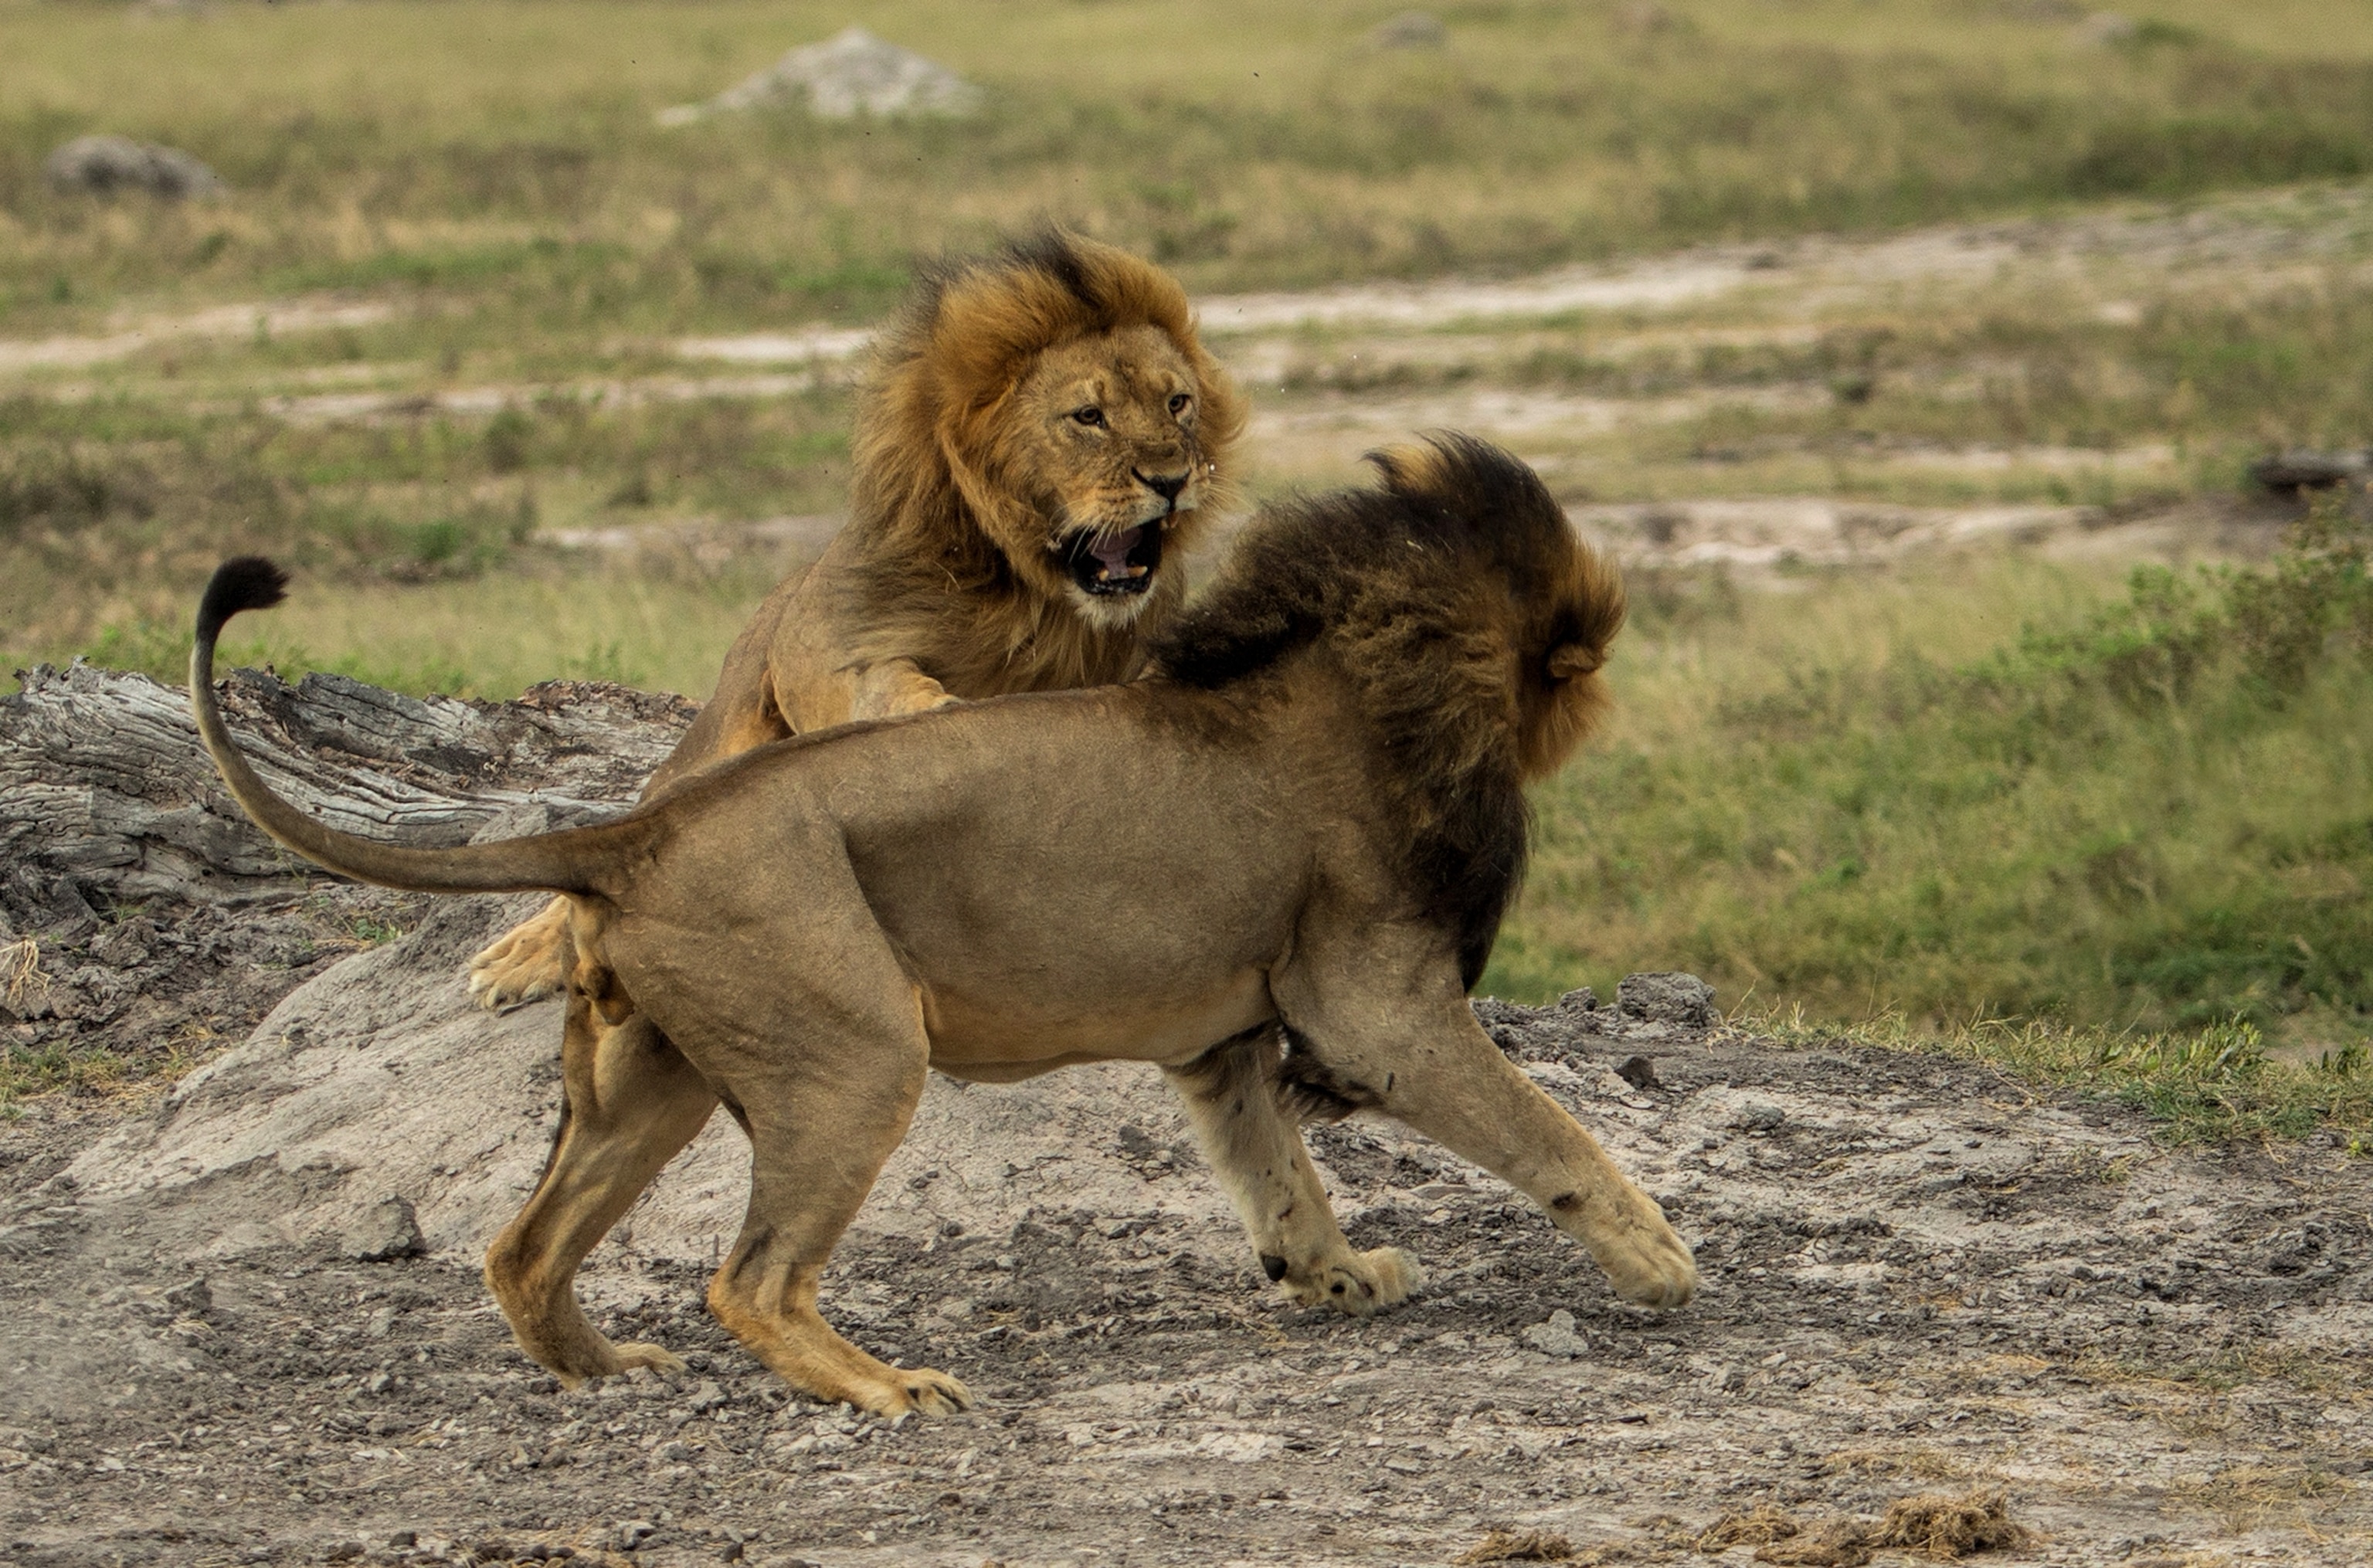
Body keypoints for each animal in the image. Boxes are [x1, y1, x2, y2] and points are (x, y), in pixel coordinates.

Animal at [187, 434, 1697, 1419]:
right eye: (1573, 672)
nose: (1596, 703)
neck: (1373, 677)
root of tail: (636, 831)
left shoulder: (1218, 1041)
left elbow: (1278, 1172)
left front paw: (1335, 1274)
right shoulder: (1374, 1007)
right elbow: (1544, 1129)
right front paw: (1656, 1257)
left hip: (648, 1077)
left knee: (523, 1249)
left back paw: (604, 1371)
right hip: (854, 1053)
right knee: (749, 1282)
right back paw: (887, 1387)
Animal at [466, 229, 1247, 1010]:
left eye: (1177, 403)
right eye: (1089, 418)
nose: (1173, 480)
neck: (1032, 596)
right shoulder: (837, 645)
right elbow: (887, 687)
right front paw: (936, 714)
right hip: (724, 733)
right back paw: (516, 959)